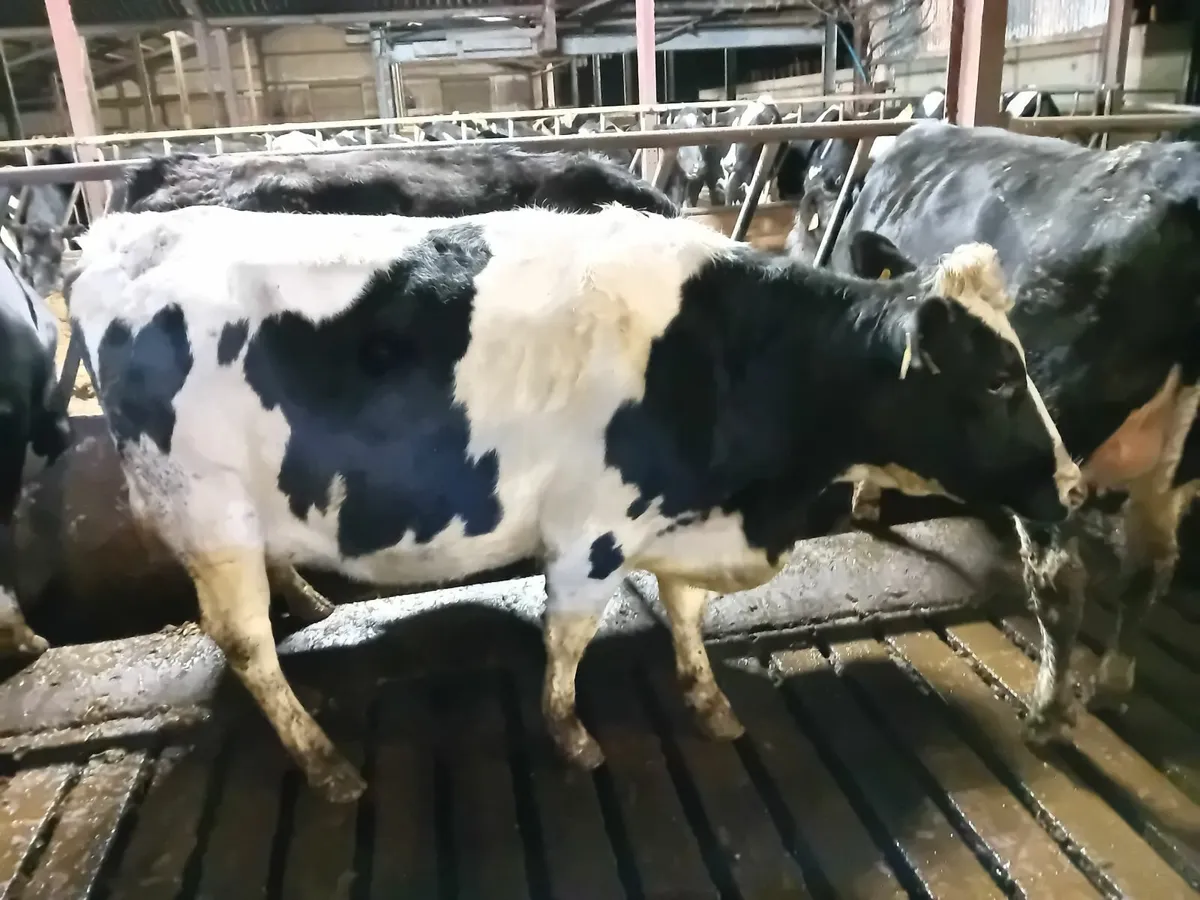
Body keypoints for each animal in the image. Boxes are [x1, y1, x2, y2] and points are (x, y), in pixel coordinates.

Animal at [67, 201, 1082, 802]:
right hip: (208, 510)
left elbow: (686, 614)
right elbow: (569, 639)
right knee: (243, 643)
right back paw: (323, 761)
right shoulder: (593, 528)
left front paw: (708, 701)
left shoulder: (679, 512)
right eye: (999, 378)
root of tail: (125, 235)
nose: (1074, 485)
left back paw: (310, 600)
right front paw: (571, 736)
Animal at [829, 121, 1200, 743]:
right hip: (1175, 467)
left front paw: (865, 499)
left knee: (1060, 582)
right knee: (1148, 569)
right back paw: (1110, 688)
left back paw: (1046, 714)